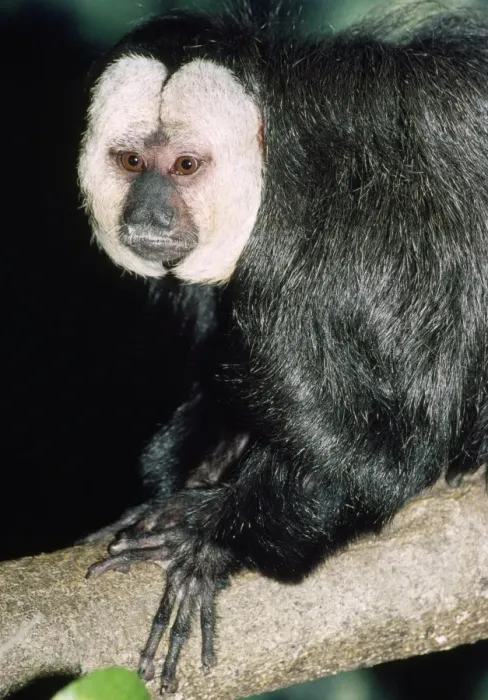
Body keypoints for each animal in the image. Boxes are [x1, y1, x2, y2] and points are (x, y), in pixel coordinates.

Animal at [78, 3, 488, 693]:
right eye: (131, 161)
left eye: (185, 166)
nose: (149, 215)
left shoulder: (333, 253)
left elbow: (381, 460)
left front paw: (207, 539)